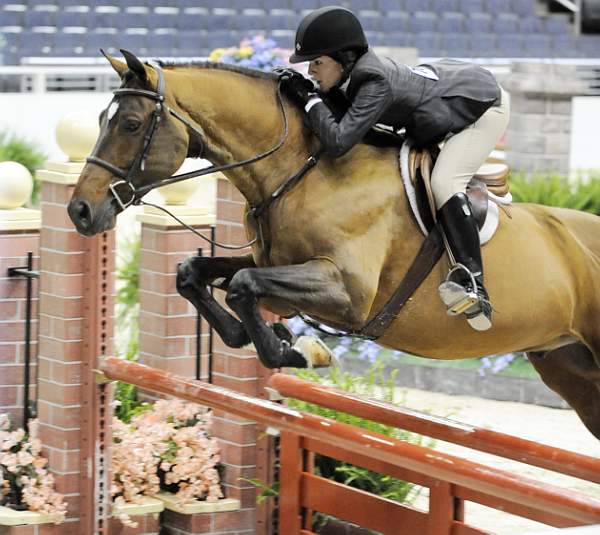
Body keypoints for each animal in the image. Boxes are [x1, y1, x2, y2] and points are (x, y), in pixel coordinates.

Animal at [70, 51, 600, 440]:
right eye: (100, 117)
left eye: (131, 124)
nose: (80, 211)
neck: (301, 170)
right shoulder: (279, 265)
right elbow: (195, 273)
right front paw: (262, 336)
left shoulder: (348, 293)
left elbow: (242, 284)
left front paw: (302, 351)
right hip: (570, 368)